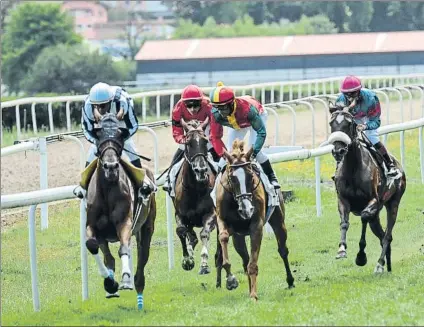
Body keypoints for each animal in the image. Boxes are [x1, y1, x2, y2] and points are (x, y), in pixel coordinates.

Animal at [84, 114, 156, 310]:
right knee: (108, 258)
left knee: (142, 258)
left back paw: (136, 286)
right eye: (99, 134)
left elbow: (124, 249)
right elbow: (92, 246)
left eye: (119, 134)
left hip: (146, 228)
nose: (110, 166)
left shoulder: (125, 223)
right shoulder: (93, 226)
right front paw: (110, 283)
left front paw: (124, 280)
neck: (107, 189)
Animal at [173, 119, 219, 276]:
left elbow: (204, 234)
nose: (201, 170)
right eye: (188, 143)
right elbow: (182, 231)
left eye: (205, 141)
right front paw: (187, 260)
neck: (195, 189)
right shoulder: (180, 214)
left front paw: (204, 264)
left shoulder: (211, 213)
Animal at [214, 140, 294, 302]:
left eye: (250, 176)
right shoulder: (223, 221)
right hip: (238, 238)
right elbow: (223, 237)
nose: (247, 209)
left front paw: (253, 295)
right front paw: (230, 279)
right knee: (245, 260)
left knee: (283, 250)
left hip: (279, 222)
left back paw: (290, 281)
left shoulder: (256, 226)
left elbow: (253, 263)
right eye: (232, 178)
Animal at [328, 105, 408, 274]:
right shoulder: (343, 200)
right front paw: (341, 250)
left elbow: (364, 216)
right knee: (382, 235)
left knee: (387, 235)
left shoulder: (373, 201)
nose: (338, 151)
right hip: (376, 216)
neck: (352, 168)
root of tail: (399, 165)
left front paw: (361, 256)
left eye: (349, 123)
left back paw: (379, 264)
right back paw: (386, 264)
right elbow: (344, 223)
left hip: (393, 203)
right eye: (332, 123)